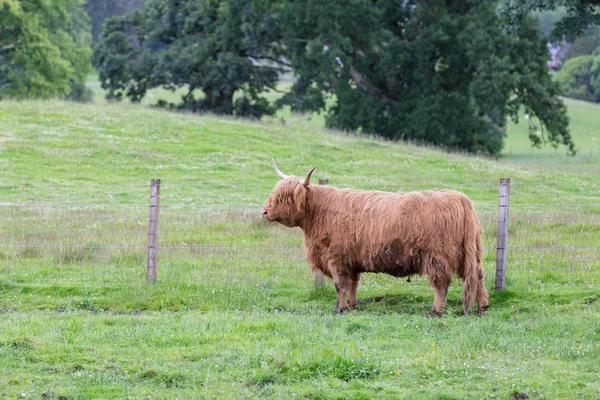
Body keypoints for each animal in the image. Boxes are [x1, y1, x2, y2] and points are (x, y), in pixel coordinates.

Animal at [262, 159, 488, 316]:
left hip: (438, 256)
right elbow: (353, 284)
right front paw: (352, 306)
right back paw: (482, 308)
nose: (264, 211)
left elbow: (340, 285)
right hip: (470, 253)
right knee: (477, 276)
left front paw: (339, 308)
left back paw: (435, 311)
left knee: (442, 283)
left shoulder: (336, 258)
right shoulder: (352, 260)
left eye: (283, 197)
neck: (319, 212)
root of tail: (461, 199)